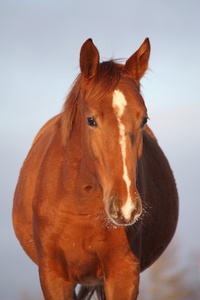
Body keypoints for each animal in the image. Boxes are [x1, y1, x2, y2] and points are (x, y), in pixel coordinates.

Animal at [12, 38, 178, 298]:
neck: (80, 206)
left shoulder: (123, 274)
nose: (125, 207)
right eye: (91, 120)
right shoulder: (54, 276)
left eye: (144, 119)